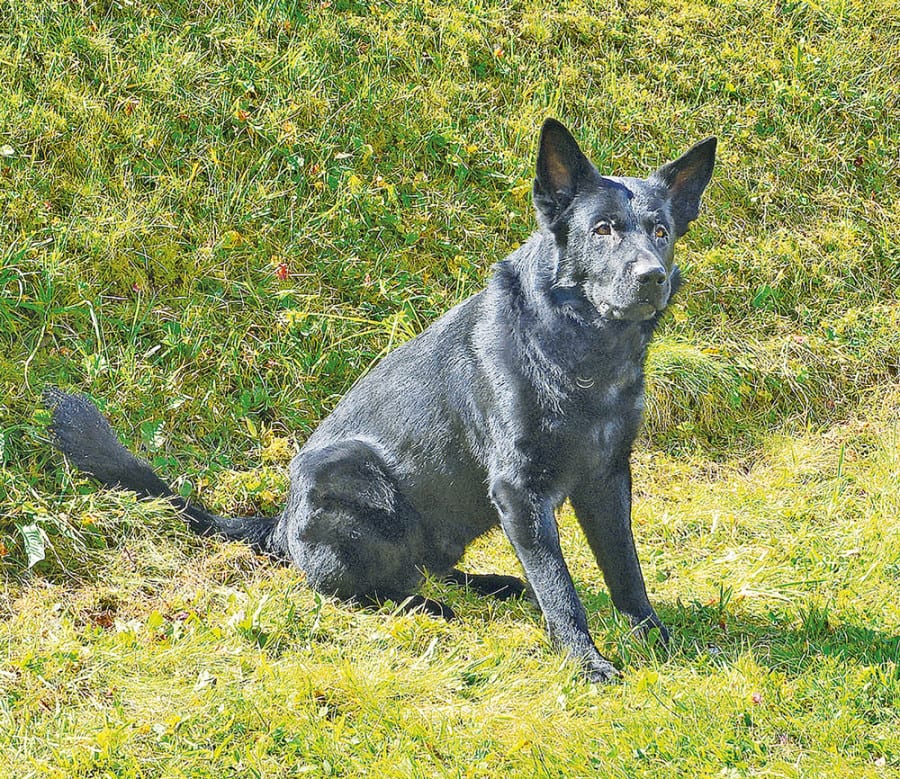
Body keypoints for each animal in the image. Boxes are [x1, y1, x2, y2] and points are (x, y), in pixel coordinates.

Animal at [45, 119, 716, 680]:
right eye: (602, 230)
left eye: (661, 231)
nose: (652, 277)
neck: (582, 355)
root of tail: (279, 525)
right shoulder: (520, 490)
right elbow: (559, 587)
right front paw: (586, 661)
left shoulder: (606, 479)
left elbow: (625, 569)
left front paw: (653, 635)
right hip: (354, 477)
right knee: (355, 587)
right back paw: (427, 608)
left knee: (432, 566)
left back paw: (490, 586)